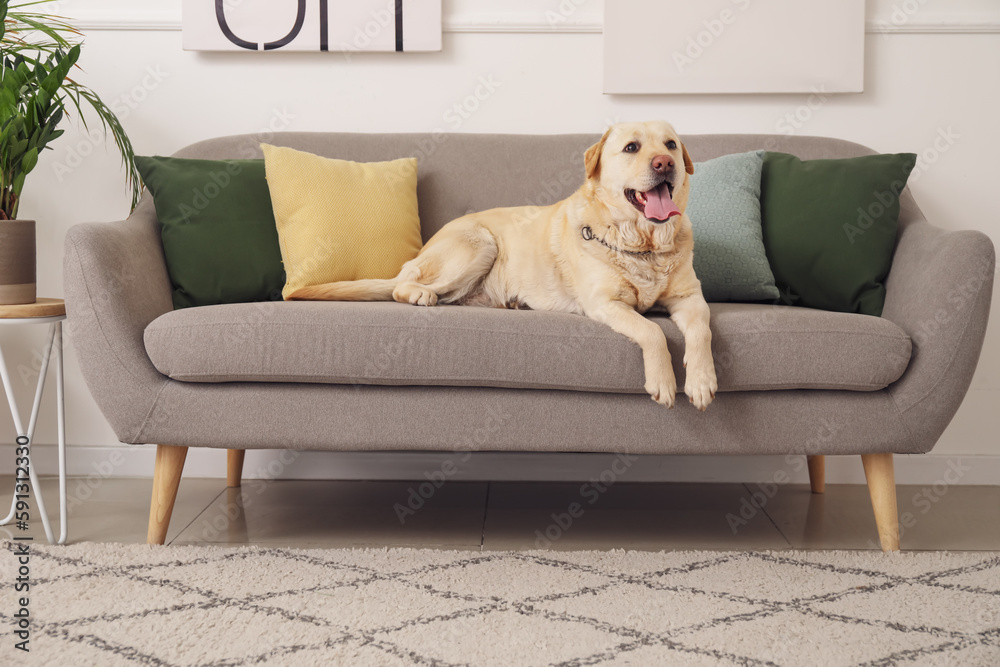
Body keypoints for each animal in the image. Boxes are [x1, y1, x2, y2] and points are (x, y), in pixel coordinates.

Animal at [290, 122, 720, 410]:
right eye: (631, 147)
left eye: (671, 145)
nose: (665, 163)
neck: (644, 245)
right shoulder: (605, 304)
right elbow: (652, 331)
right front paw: (664, 381)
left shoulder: (690, 299)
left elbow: (701, 331)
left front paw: (701, 381)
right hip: (481, 245)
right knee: (403, 284)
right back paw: (420, 295)